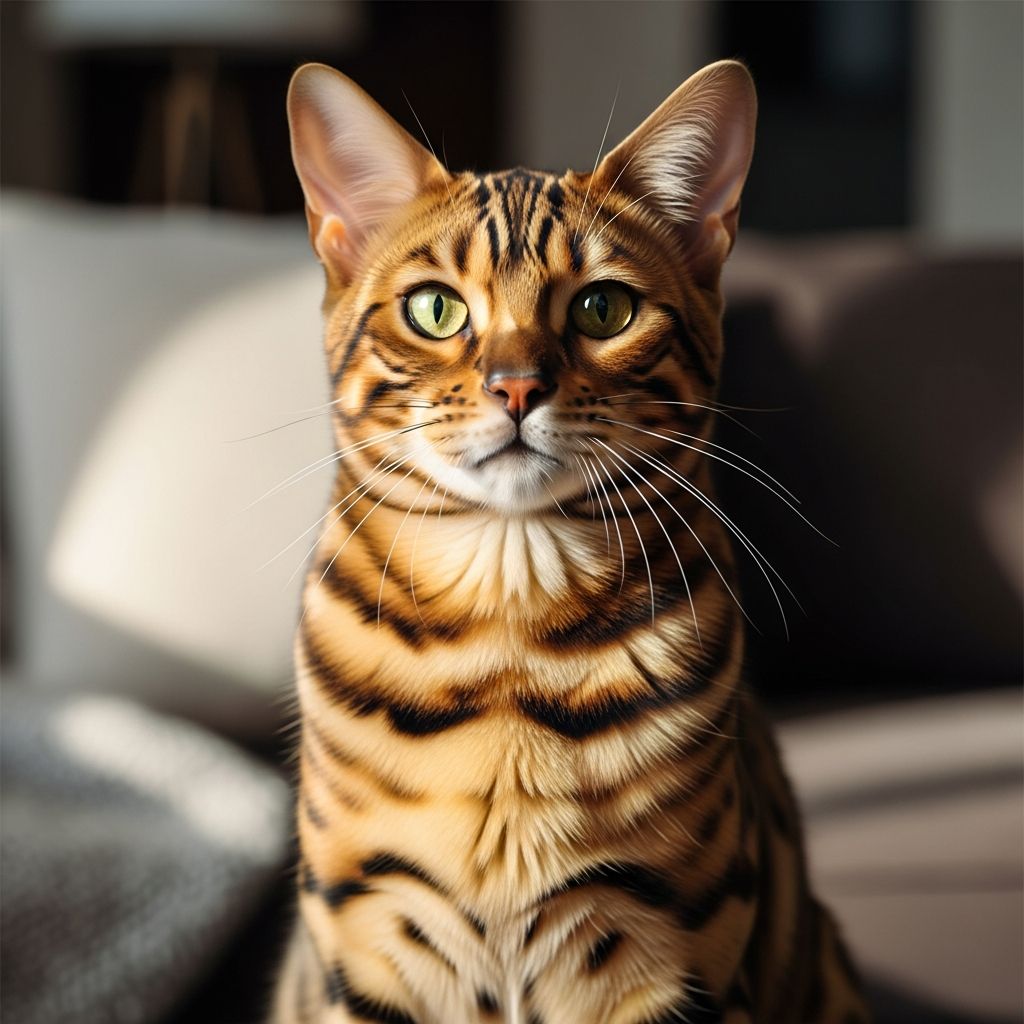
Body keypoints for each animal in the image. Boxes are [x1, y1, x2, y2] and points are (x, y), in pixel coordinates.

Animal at [270, 59, 871, 1024]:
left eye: (603, 308)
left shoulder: (667, 950)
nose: (517, 387)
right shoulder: (369, 940)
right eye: (434, 309)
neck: (508, 633)